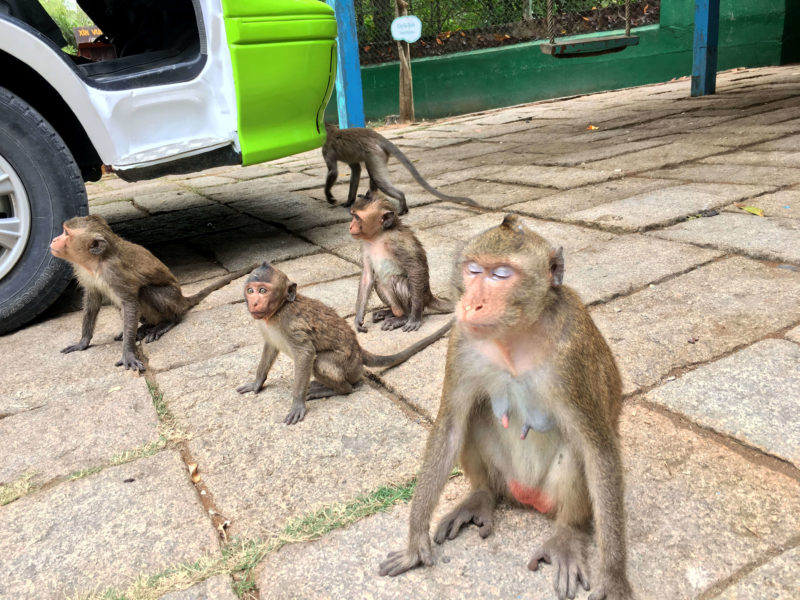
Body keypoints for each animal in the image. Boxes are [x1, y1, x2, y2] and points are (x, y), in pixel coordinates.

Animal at [50, 216, 255, 372]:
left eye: (66, 233)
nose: (53, 240)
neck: (96, 262)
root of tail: (181, 299)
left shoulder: (114, 272)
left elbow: (130, 302)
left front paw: (128, 353)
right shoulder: (85, 273)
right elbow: (92, 301)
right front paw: (83, 342)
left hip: (172, 300)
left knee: (145, 292)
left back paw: (165, 323)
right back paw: (145, 326)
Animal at [236, 264, 450, 426]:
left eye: (263, 290)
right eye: (250, 290)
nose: (254, 303)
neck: (278, 310)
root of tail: (359, 351)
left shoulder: (290, 323)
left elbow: (306, 353)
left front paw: (297, 403)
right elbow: (270, 347)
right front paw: (257, 383)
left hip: (349, 366)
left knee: (321, 363)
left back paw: (339, 389)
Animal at [322, 122, 478, 216]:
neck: (332, 131)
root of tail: (378, 136)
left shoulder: (326, 150)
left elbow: (334, 172)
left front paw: (329, 195)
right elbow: (356, 170)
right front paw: (349, 201)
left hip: (374, 154)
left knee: (378, 178)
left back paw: (401, 200)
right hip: (380, 155)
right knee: (374, 175)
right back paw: (372, 197)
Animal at [348, 192, 454, 332]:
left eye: (357, 217)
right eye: (353, 215)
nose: (350, 226)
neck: (378, 236)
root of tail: (429, 296)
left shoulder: (397, 242)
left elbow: (415, 269)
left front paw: (414, 318)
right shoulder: (365, 245)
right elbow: (367, 276)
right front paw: (359, 318)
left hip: (420, 297)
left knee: (395, 280)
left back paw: (405, 317)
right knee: (378, 281)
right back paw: (390, 312)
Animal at [378, 214, 636, 600]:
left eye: (501, 274)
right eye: (473, 270)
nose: (471, 304)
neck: (515, 335)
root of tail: (525, 497)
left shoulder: (572, 355)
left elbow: (598, 449)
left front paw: (615, 577)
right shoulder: (460, 341)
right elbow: (451, 426)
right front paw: (414, 544)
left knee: (577, 450)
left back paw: (567, 533)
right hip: (505, 477)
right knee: (473, 421)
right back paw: (481, 496)